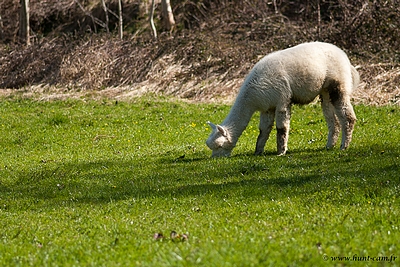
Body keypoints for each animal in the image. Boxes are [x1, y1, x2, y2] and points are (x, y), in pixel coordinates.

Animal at [208, 41, 358, 157]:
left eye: (219, 146)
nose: (215, 158)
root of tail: (345, 57)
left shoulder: (282, 99)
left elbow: (282, 128)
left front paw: (281, 152)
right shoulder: (267, 106)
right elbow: (264, 130)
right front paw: (258, 151)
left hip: (338, 83)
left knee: (348, 117)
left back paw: (344, 146)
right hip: (325, 91)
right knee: (333, 120)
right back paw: (329, 146)